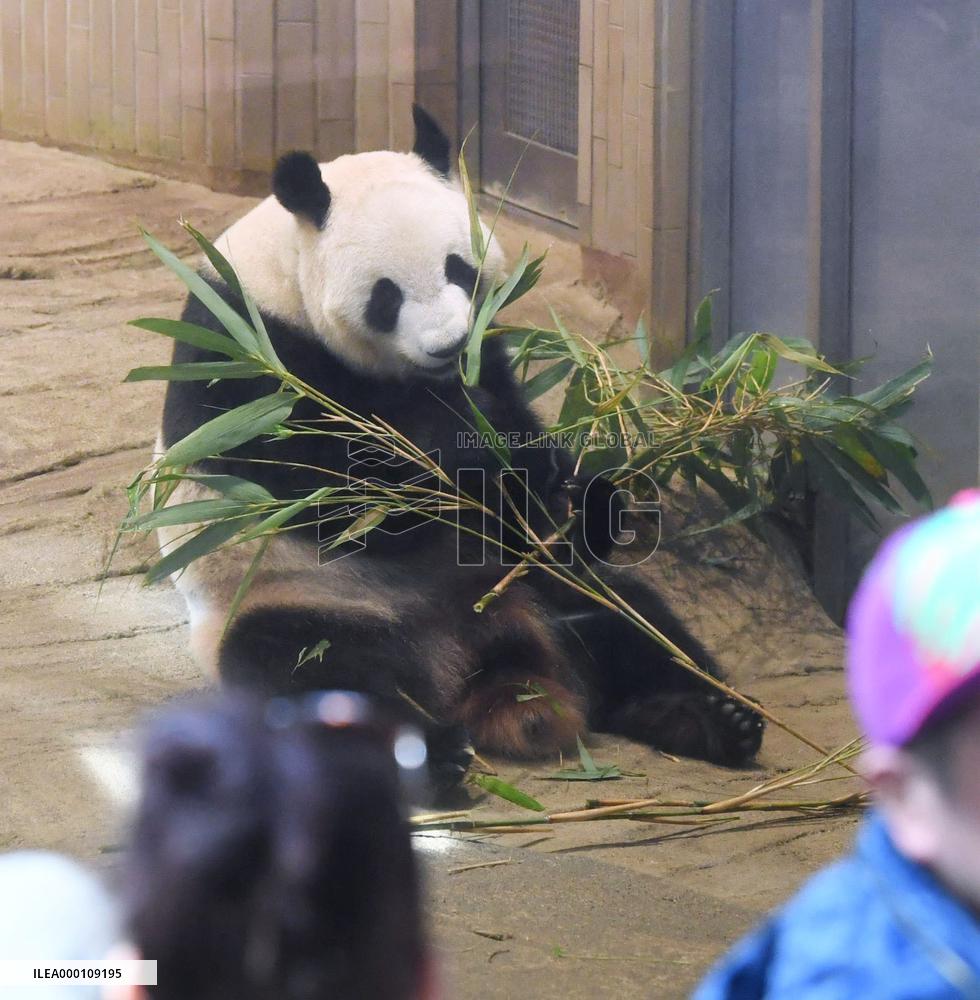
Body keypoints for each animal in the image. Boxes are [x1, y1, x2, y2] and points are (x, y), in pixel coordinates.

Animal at [156, 105, 764, 782]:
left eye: (458, 268)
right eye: (386, 295)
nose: (447, 344)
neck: (283, 275)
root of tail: (476, 664)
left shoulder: (486, 352)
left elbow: (521, 465)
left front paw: (572, 494)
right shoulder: (245, 359)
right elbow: (334, 491)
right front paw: (457, 452)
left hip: (535, 587)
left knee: (633, 623)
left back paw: (711, 718)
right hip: (298, 603)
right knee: (308, 674)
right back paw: (433, 755)